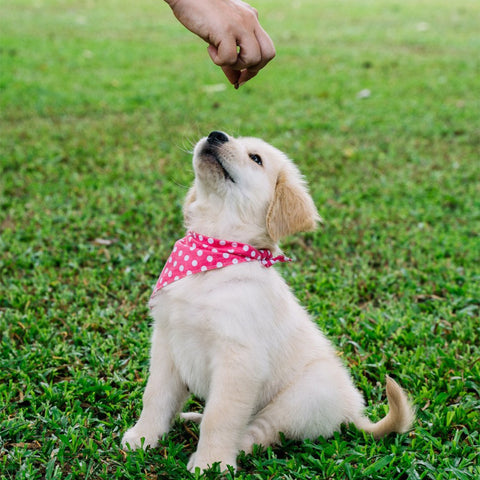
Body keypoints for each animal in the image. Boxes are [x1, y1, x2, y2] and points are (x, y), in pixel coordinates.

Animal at [122, 129, 414, 470]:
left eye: (256, 159)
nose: (215, 134)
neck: (215, 252)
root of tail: (353, 413)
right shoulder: (167, 342)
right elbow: (155, 397)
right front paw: (143, 437)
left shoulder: (239, 360)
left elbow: (220, 416)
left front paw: (210, 463)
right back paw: (190, 417)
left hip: (299, 398)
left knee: (257, 433)